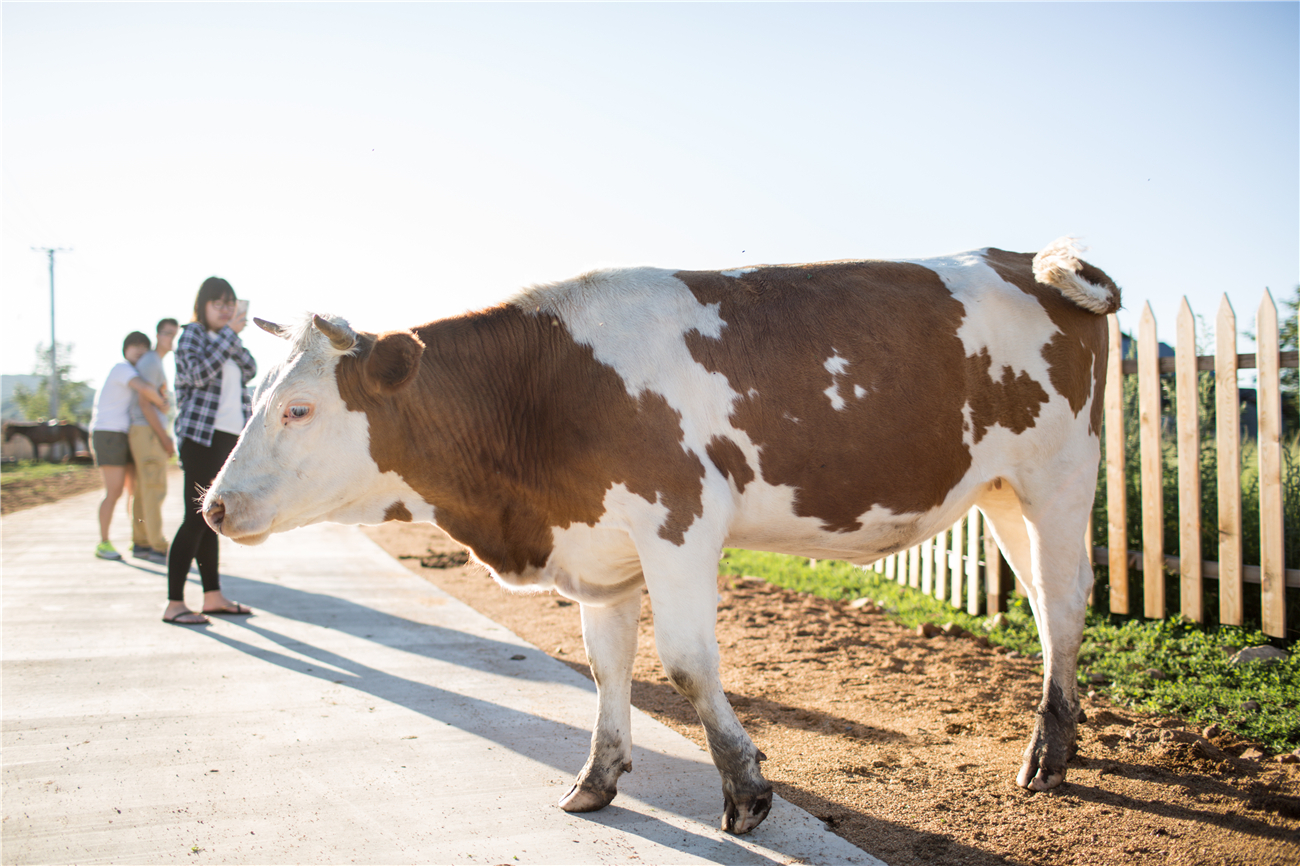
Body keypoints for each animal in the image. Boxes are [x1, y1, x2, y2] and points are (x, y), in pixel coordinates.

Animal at [202, 236, 1118, 832]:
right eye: (257, 396)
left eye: (299, 408)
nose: (212, 506)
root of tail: (1020, 253)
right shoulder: (598, 542)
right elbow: (609, 665)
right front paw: (596, 778)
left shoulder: (678, 520)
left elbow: (684, 664)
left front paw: (746, 789)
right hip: (1000, 491)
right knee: (1046, 605)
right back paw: (1065, 735)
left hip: (1059, 473)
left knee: (1065, 601)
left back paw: (1049, 755)